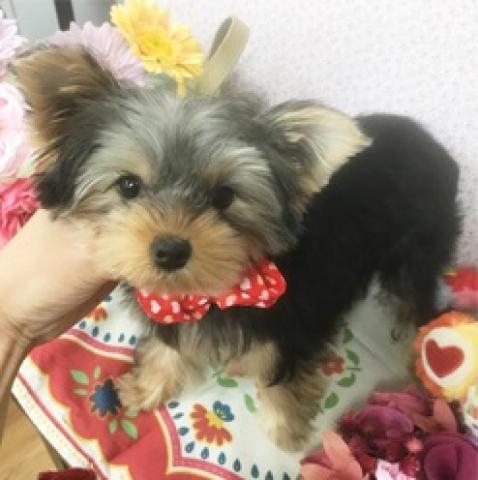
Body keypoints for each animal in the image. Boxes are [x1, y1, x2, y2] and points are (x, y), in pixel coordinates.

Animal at [14, 47, 460, 450]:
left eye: (224, 196)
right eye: (128, 185)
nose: (170, 251)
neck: (220, 292)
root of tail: (431, 144)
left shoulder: (293, 320)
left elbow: (279, 370)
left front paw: (286, 429)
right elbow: (169, 347)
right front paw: (148, 385)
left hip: (418, 244)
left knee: (414, 298)